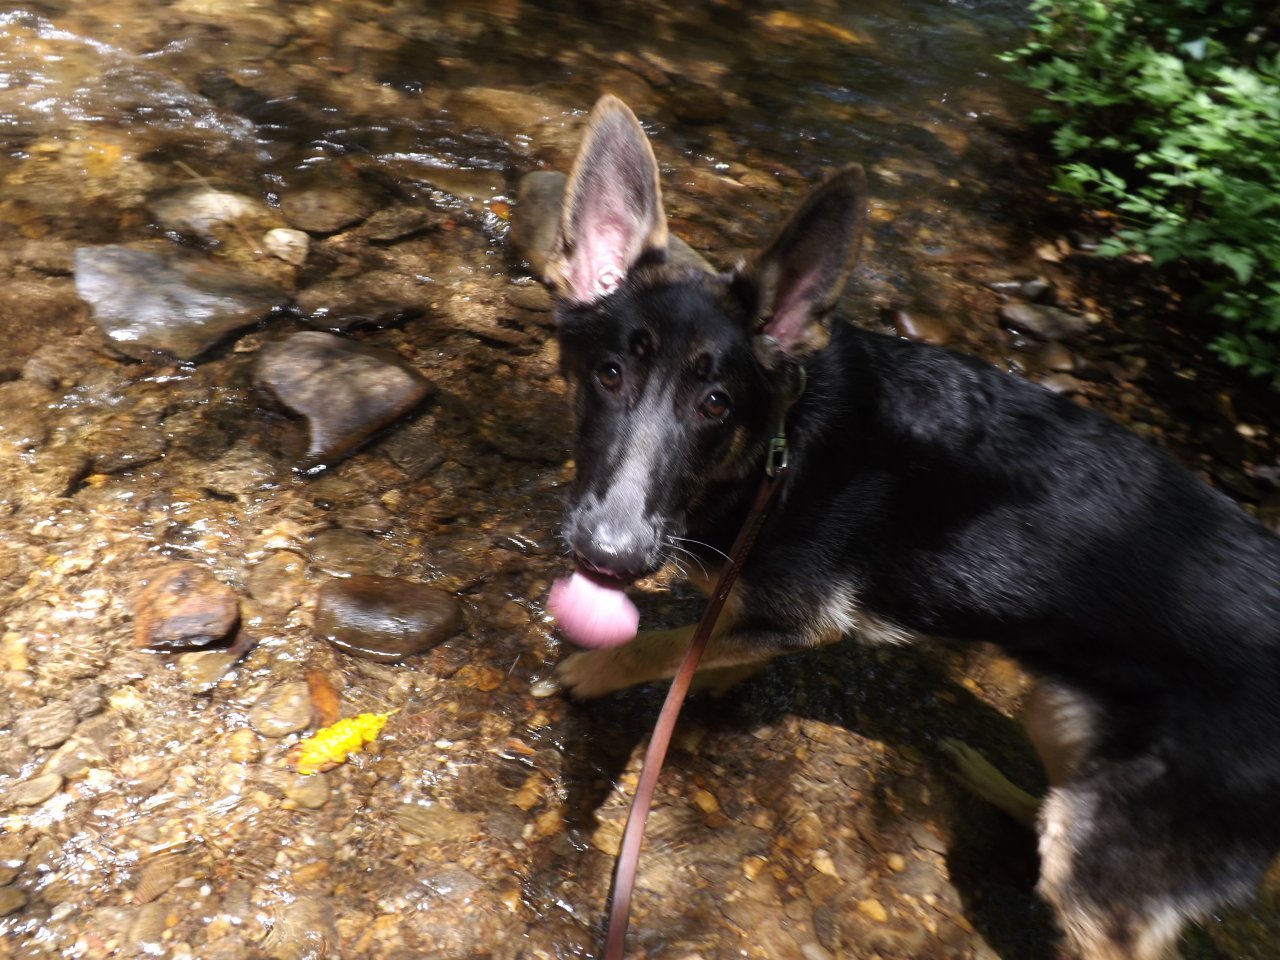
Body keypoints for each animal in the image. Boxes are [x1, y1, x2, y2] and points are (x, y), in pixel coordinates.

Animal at [527, 96, 1280, 960]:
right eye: (610, 373)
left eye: (715, 404)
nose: (609, 557)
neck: (779, 449)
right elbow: (711, 641)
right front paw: (713, 675)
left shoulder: (800, 614)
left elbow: (658, 643)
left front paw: (593, 671)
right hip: (1064, 723)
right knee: (1052, 815)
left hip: (1107, 846)